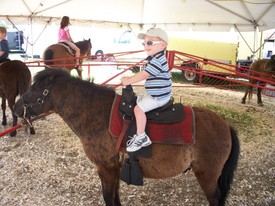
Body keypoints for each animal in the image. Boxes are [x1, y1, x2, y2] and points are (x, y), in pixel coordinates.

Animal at [14, 68, 240, 205]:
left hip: (207, 175)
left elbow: (109, 197)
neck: (95, 113)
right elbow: (114, 196)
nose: (16, 108)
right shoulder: (114, 168)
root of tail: (225, 126)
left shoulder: (106, 167)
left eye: (34, 89)